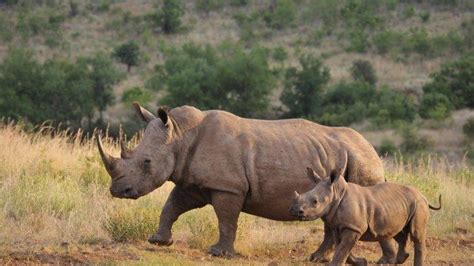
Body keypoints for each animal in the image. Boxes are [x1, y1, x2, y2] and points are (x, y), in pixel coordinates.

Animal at [97, 103, 386, 260]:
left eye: (146, 162)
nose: (117, 190)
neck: (179, 135)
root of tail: (373, 151)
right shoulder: (192, 182)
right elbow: (171, 206)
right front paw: (158, 241)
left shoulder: (227, 187)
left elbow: (226, 219)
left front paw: (219, 253)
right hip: (342, 160)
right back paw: (316, 258)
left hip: (361, 162)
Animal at [290, 167, 442, 264]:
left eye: (315, 201)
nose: (295, 210)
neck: (336, 193)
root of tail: (423, 195)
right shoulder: (339, 226)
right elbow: (342, 249)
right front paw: (362, 262)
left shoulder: (353, 227)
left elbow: (342, 250)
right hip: (401, 205)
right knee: (397, 233)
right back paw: (400, 259)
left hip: (419, 205)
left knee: (416, 234)